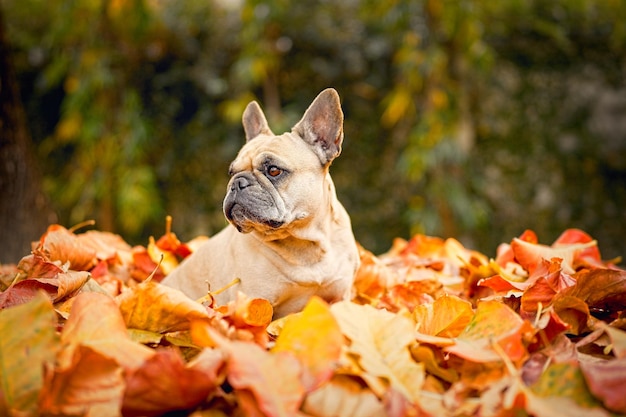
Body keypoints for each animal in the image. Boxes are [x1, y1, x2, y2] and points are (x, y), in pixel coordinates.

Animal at [158, 87, 358, 316]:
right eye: (231, 172)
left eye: (274, 170)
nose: (237, 183)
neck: (304, 242)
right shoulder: (255, 300)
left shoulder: (340, 297)